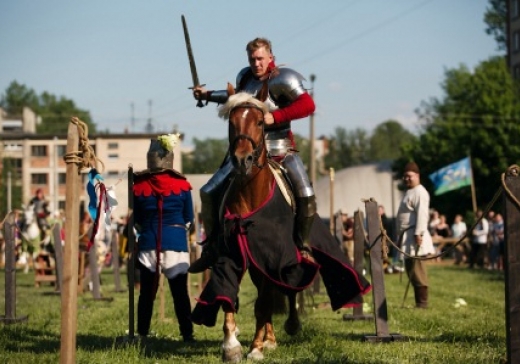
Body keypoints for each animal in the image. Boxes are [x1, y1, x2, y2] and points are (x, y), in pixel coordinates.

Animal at [192, 87, 374, 362]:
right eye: (232, 122)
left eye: (259, 122)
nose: (242, 160)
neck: (250, 194)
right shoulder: (233, 254)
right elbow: (227, 293)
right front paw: (231, 345)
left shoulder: (275, 257)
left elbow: (265, 302)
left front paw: (256, 348)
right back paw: (270, 337)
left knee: (287, 290)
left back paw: (289, 327)